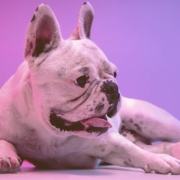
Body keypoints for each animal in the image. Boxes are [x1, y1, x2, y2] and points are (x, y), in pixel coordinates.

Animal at [0, 0, 180, 174]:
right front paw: (6, 155)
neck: (50, 134)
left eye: (115, 74)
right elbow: (4, 140)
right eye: (81, 80)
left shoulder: (109, 143)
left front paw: (159, 160)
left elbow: (132, 151)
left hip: (155, 121)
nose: (113, 88)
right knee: (158, 146)